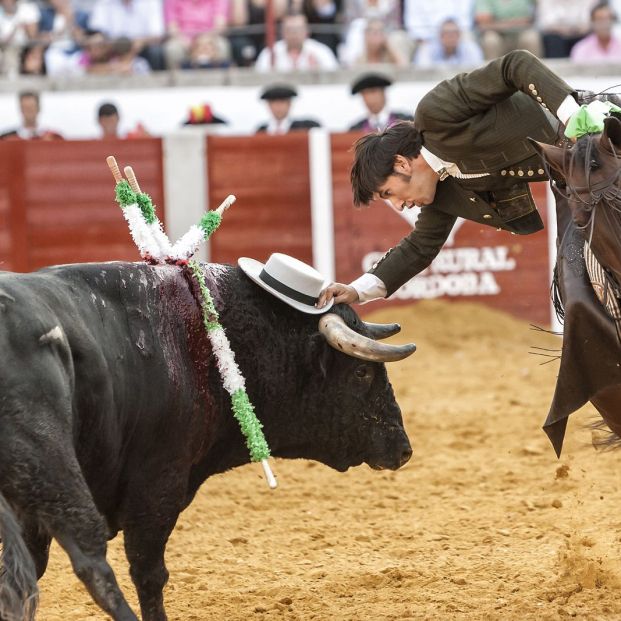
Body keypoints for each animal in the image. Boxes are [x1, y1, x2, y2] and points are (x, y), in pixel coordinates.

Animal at [0, 260, 414, 620]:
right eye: (361, 372)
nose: (404, 449)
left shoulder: (32, 517)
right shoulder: (158, 488)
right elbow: (149, 573)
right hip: (52, 471)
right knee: (91, 564)